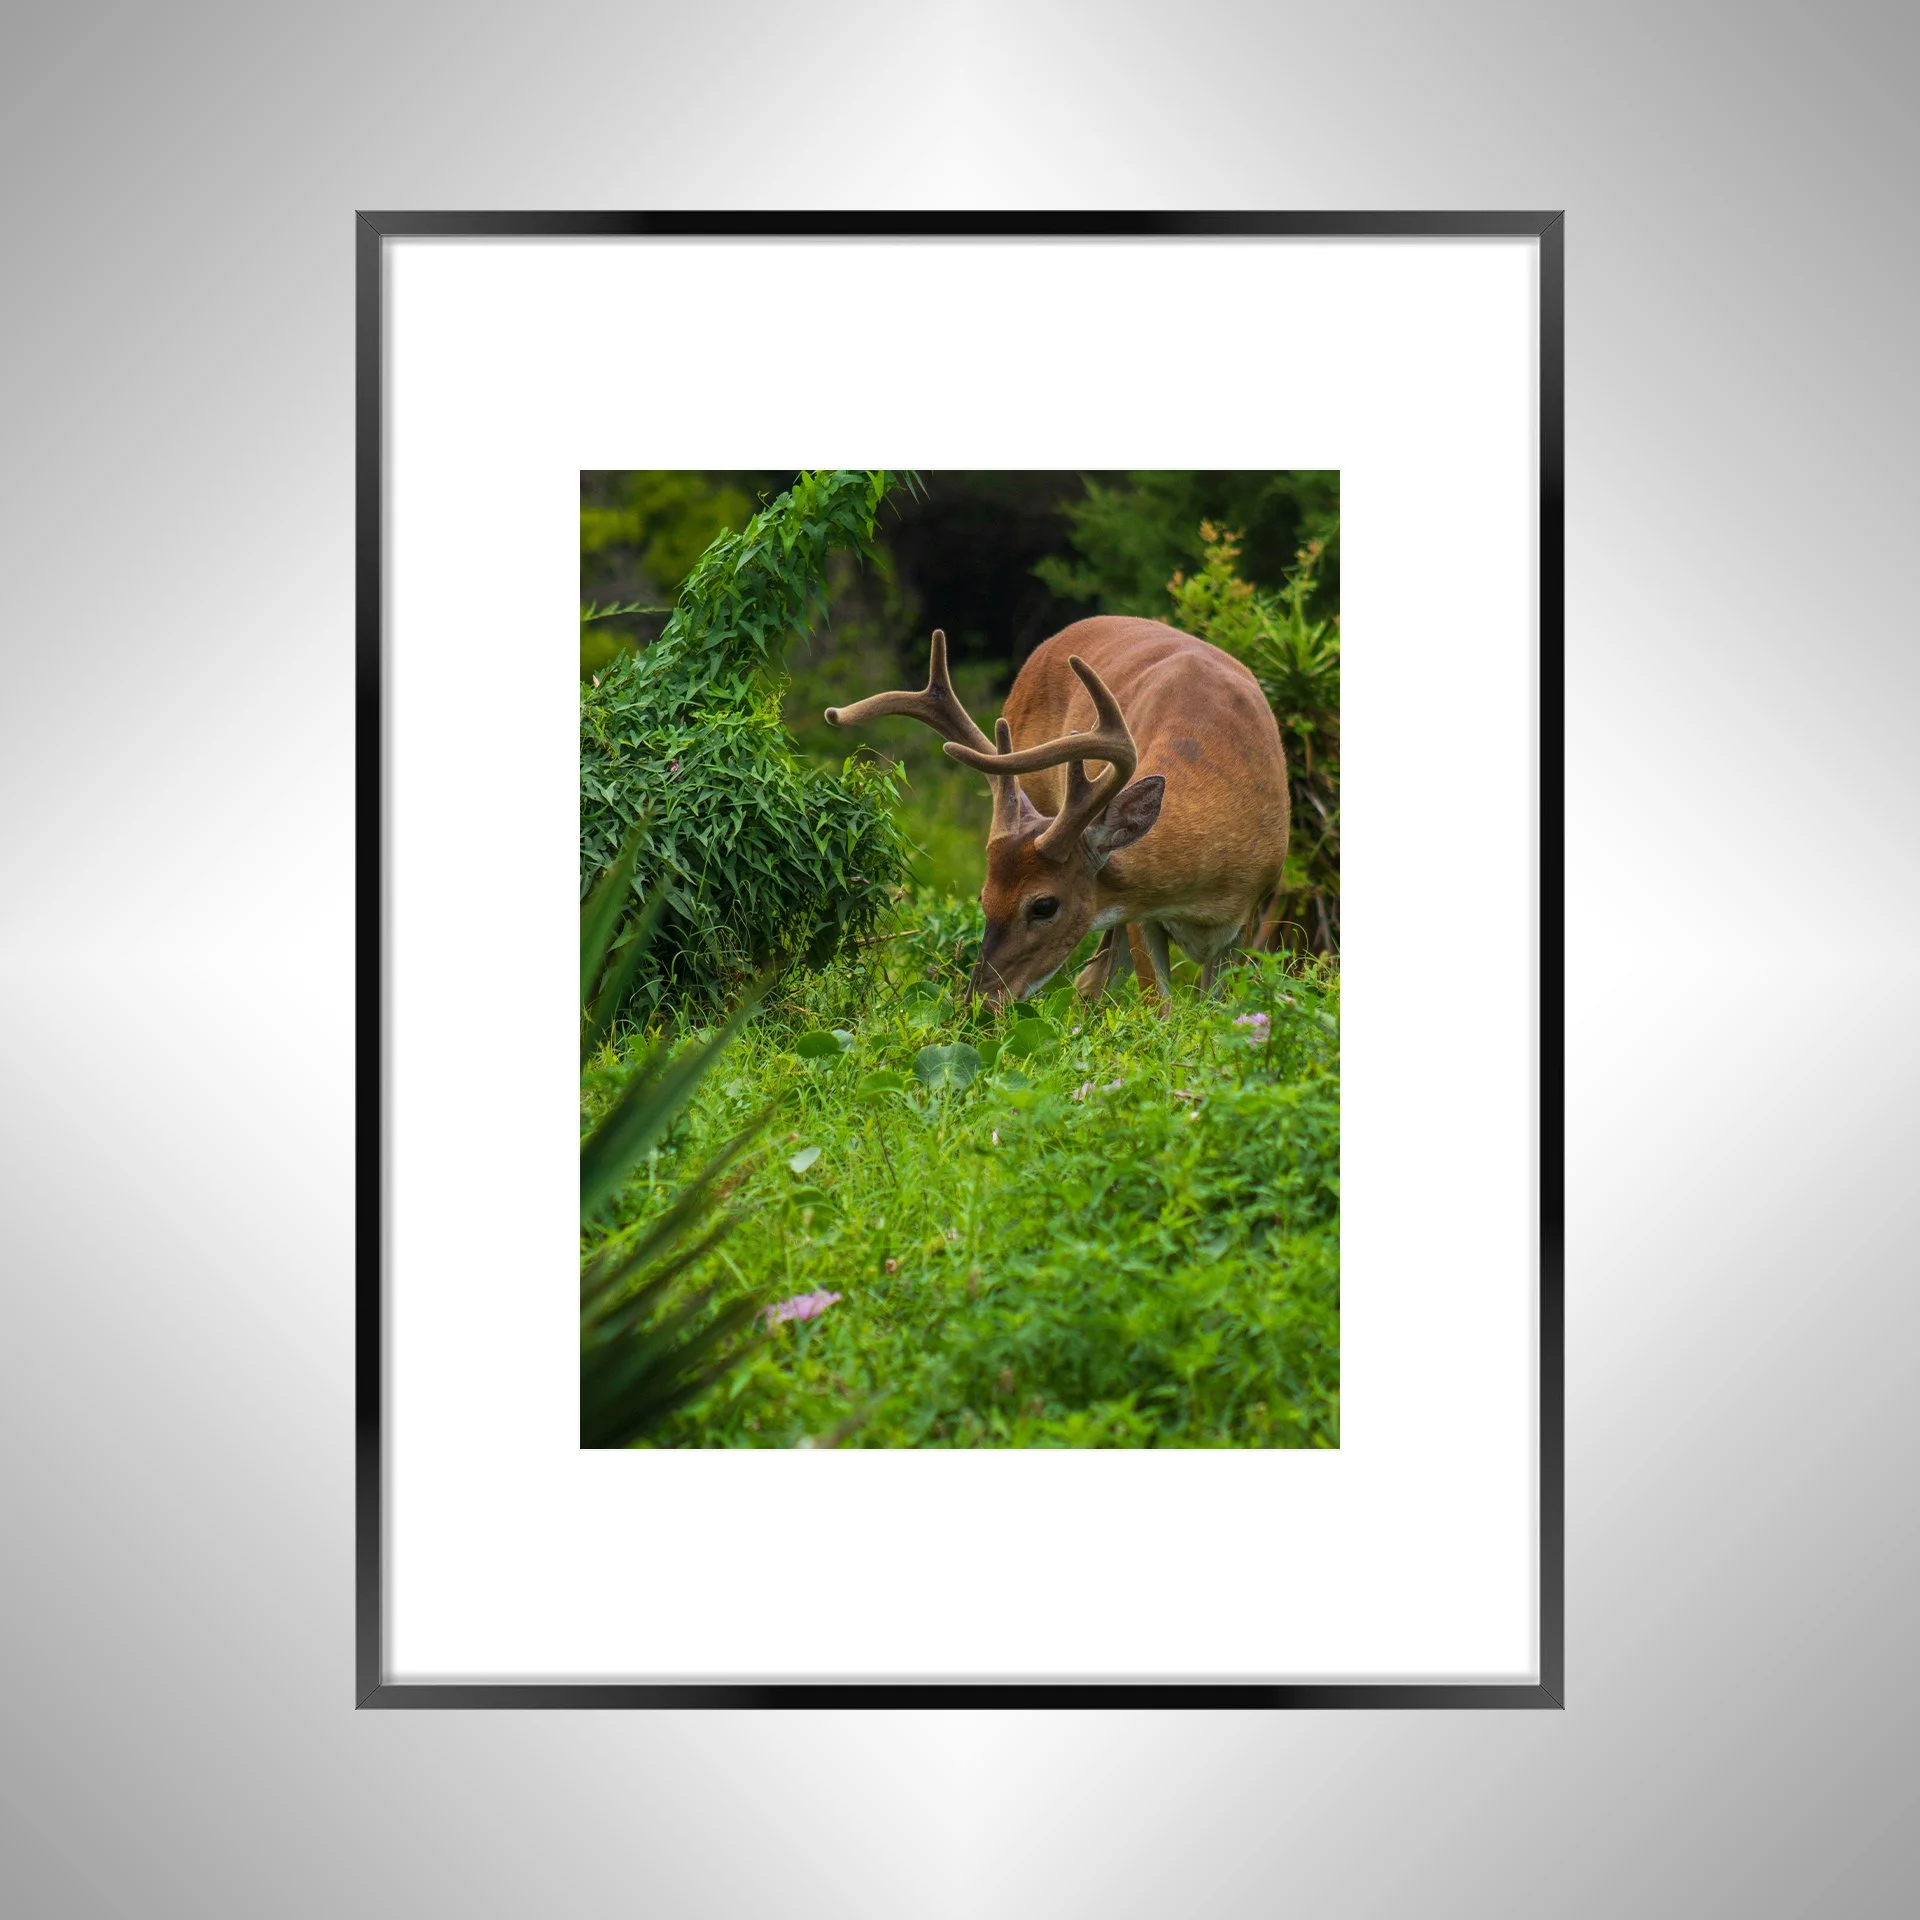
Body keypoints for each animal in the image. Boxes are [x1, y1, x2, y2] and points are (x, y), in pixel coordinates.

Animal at [826, 617, 1291, 1011]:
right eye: (983, 898)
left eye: (1044, 905)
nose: (981, 1002)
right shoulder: (1139, 914)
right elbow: (1159, 1009)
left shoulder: (1252, 911)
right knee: (1092, 983)